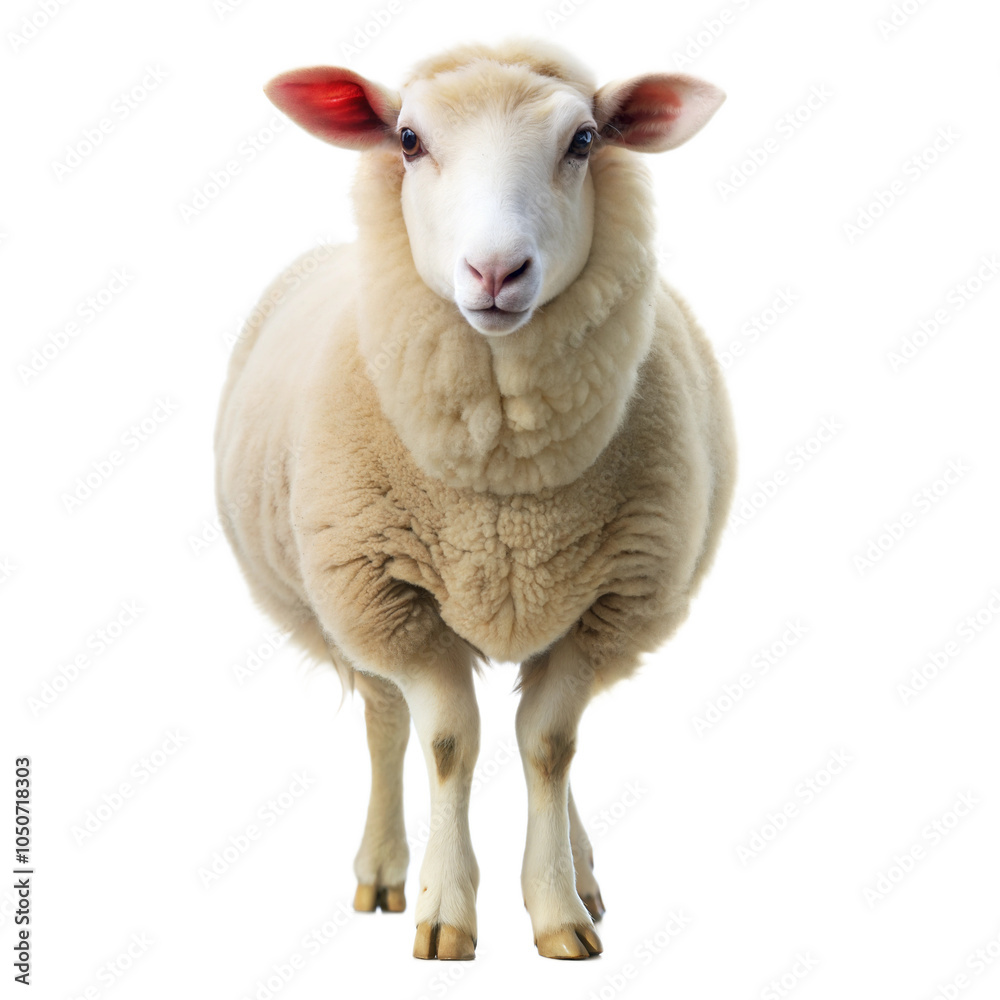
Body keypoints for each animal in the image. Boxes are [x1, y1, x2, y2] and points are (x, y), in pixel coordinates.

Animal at [215, 39, 736, 961]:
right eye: (409, 139)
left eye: (585, 140)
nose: (495, 270)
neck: (505, 490)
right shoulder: (388, 598)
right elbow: (450, 742)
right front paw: (443, 911)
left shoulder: (607, 604)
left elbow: (550, 745)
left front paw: (559, 909)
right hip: (341, 610)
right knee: (386, 724)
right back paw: (384, 871)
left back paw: (584, 871)